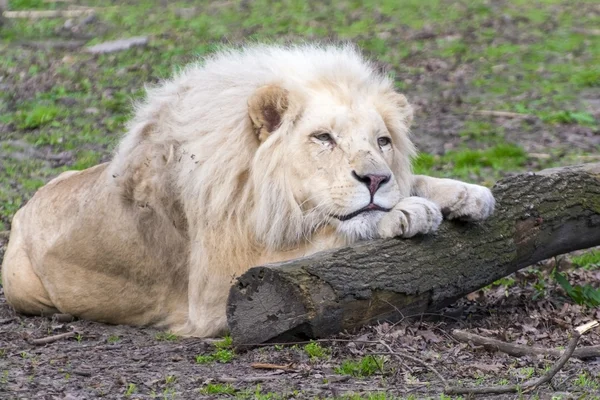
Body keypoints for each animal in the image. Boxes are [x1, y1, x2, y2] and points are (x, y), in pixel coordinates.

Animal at [2, 44, 494, 338]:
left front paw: (467, 193)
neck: (263, 191)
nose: (374, 179)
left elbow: (409, 184)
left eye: (383, 141)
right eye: (323, 138)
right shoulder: (215, 289)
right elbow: (327, 234)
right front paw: (406, 213)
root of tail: (25, 206)